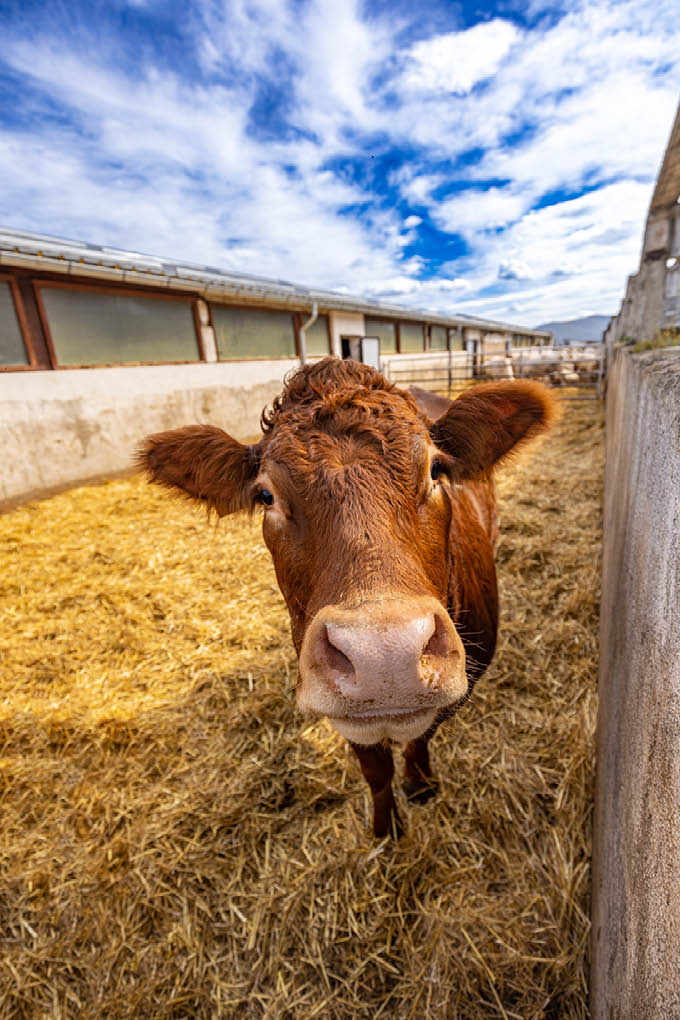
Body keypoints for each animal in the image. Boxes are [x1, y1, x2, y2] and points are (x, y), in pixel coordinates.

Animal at [139, 358, 554, 838]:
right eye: (266, 495)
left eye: (436, 470)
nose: (384, 656)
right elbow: (374, 768)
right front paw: (385, 827)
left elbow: (420, 736)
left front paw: (420, 784)